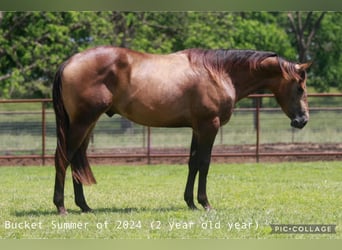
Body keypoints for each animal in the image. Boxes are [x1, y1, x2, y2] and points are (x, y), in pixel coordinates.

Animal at [52, 46, 312, 215]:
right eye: (300, 88)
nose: (302, 120)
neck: (219, 72)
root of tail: (69, 62)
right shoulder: (209, 126)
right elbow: (205, 163)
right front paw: (205, 203)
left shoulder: (198, 128)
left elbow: (193, 163)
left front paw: (190, 202)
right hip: (81, 123)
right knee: (63, 158)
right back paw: (61, 206)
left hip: (88, 124)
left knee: (76, 159)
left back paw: (84, 206)